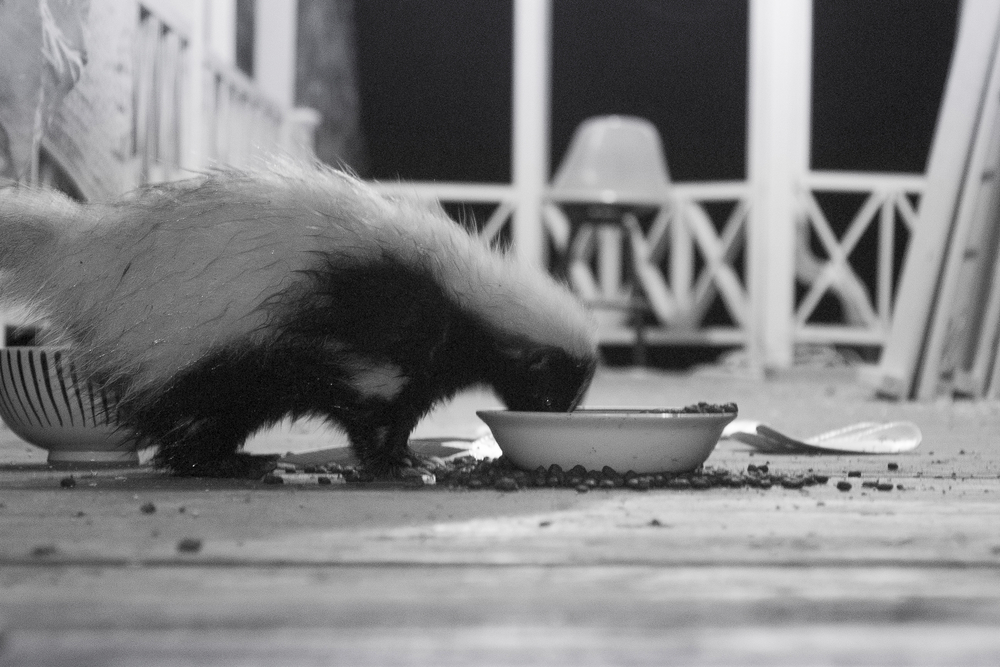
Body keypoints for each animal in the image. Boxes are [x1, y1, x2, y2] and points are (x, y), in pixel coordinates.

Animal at [0, 164, 596, 478]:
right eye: (550, 389)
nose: (556, 418)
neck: (468, 293)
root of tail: (83, 256)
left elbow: (400, 410)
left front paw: (408, 457)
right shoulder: (386, 337)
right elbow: (375, 409)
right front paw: (398, 463)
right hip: (198, 357)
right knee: (187, 430)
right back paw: (238, 464)